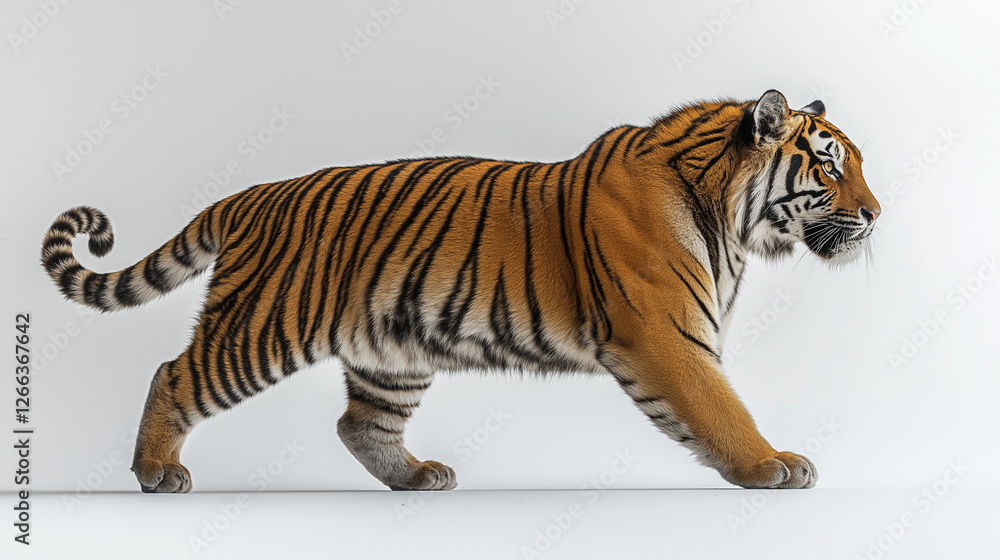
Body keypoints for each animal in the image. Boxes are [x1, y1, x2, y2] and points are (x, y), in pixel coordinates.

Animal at [41, 89, 879, 493]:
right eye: (829, 165)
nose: (877, 214)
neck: (732, 217)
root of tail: (250, 195)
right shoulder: (666, 336)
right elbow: (720, 410)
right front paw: (771, 465)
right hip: (262, 328)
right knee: (172, 374)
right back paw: (157, 475)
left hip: (391, 351)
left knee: (361, 426)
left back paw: (416, 478)